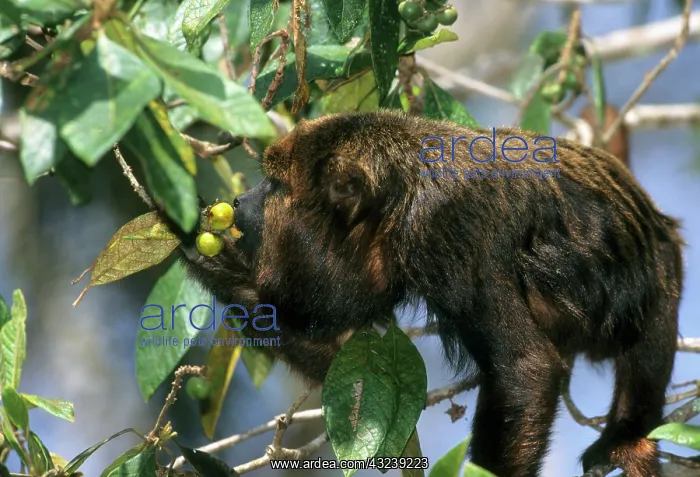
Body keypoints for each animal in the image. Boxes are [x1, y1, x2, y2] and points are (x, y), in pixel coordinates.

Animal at [174, 110, 683, 477]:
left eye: (275, 184)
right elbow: (339, 353)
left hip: (663, 265)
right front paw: (205, 254)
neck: (401, 198)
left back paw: (626, 440)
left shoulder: (445, 227)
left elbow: (526, 368)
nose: (240, 200)